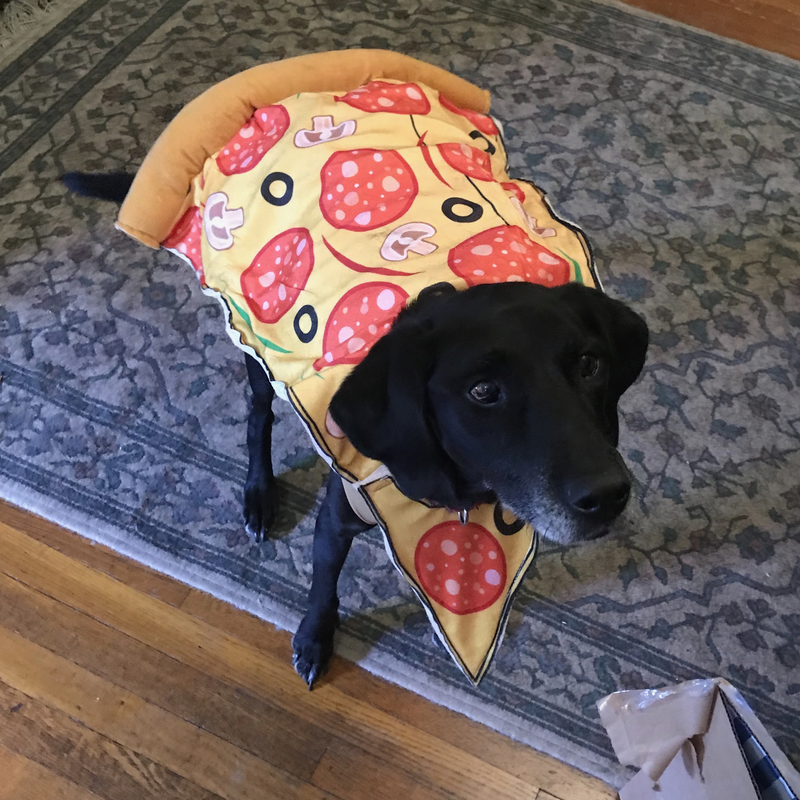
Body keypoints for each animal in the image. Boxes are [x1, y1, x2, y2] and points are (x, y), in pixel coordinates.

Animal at [62, 172, 648, 684]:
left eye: (590, 364)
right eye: (483, 391)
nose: (608, 495)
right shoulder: (339, 515)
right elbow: (323, 583)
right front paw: (314, 638)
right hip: (254, 342)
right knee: (258, 414)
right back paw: (259, 495)